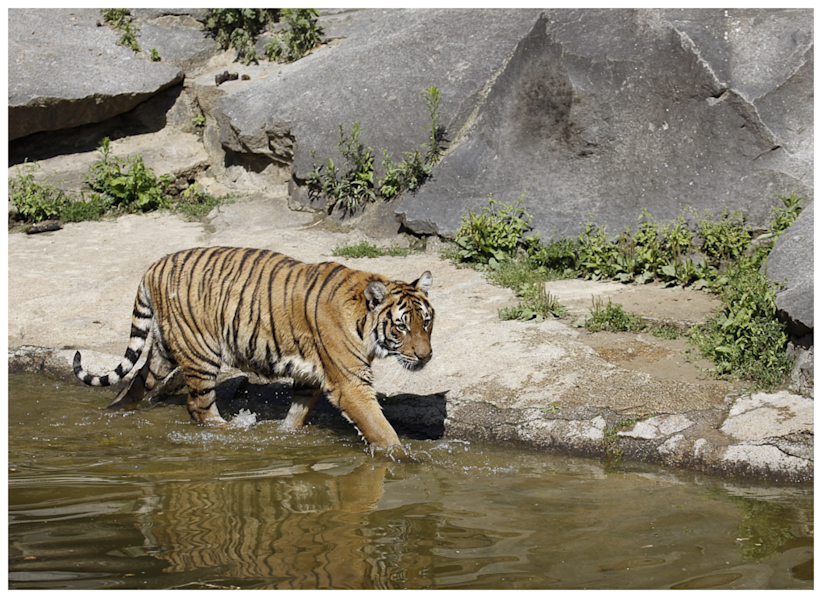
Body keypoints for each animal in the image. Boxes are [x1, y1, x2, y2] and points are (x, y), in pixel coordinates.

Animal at [72, 246, 435, 449]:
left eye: (427, 322)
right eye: (401, 325)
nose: (425, 355)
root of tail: (153, 266)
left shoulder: (310, 374)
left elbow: (297, 412)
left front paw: (289, 434)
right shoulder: (350, 382)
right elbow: (379, 427)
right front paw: (404, 458)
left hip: (164, 349)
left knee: (135, 383)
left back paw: (113, 413)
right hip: (200, 352)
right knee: (199, 408)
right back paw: (232, 430)